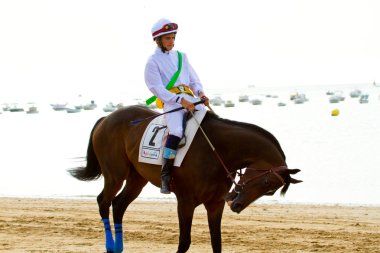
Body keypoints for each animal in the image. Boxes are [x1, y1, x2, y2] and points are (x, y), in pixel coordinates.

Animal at [69, 104, 302, 252]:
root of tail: (106, 118)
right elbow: (184, 241)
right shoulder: (185, 201)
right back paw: (110, 245)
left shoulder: (215, 203)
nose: (237, 206)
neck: (217, 150)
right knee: (103, 201)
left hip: (137, 179)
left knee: (118, 205)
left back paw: (118, 247)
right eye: (266, 183)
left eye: (270, 191)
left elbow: (216, 241)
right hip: (115, 175)